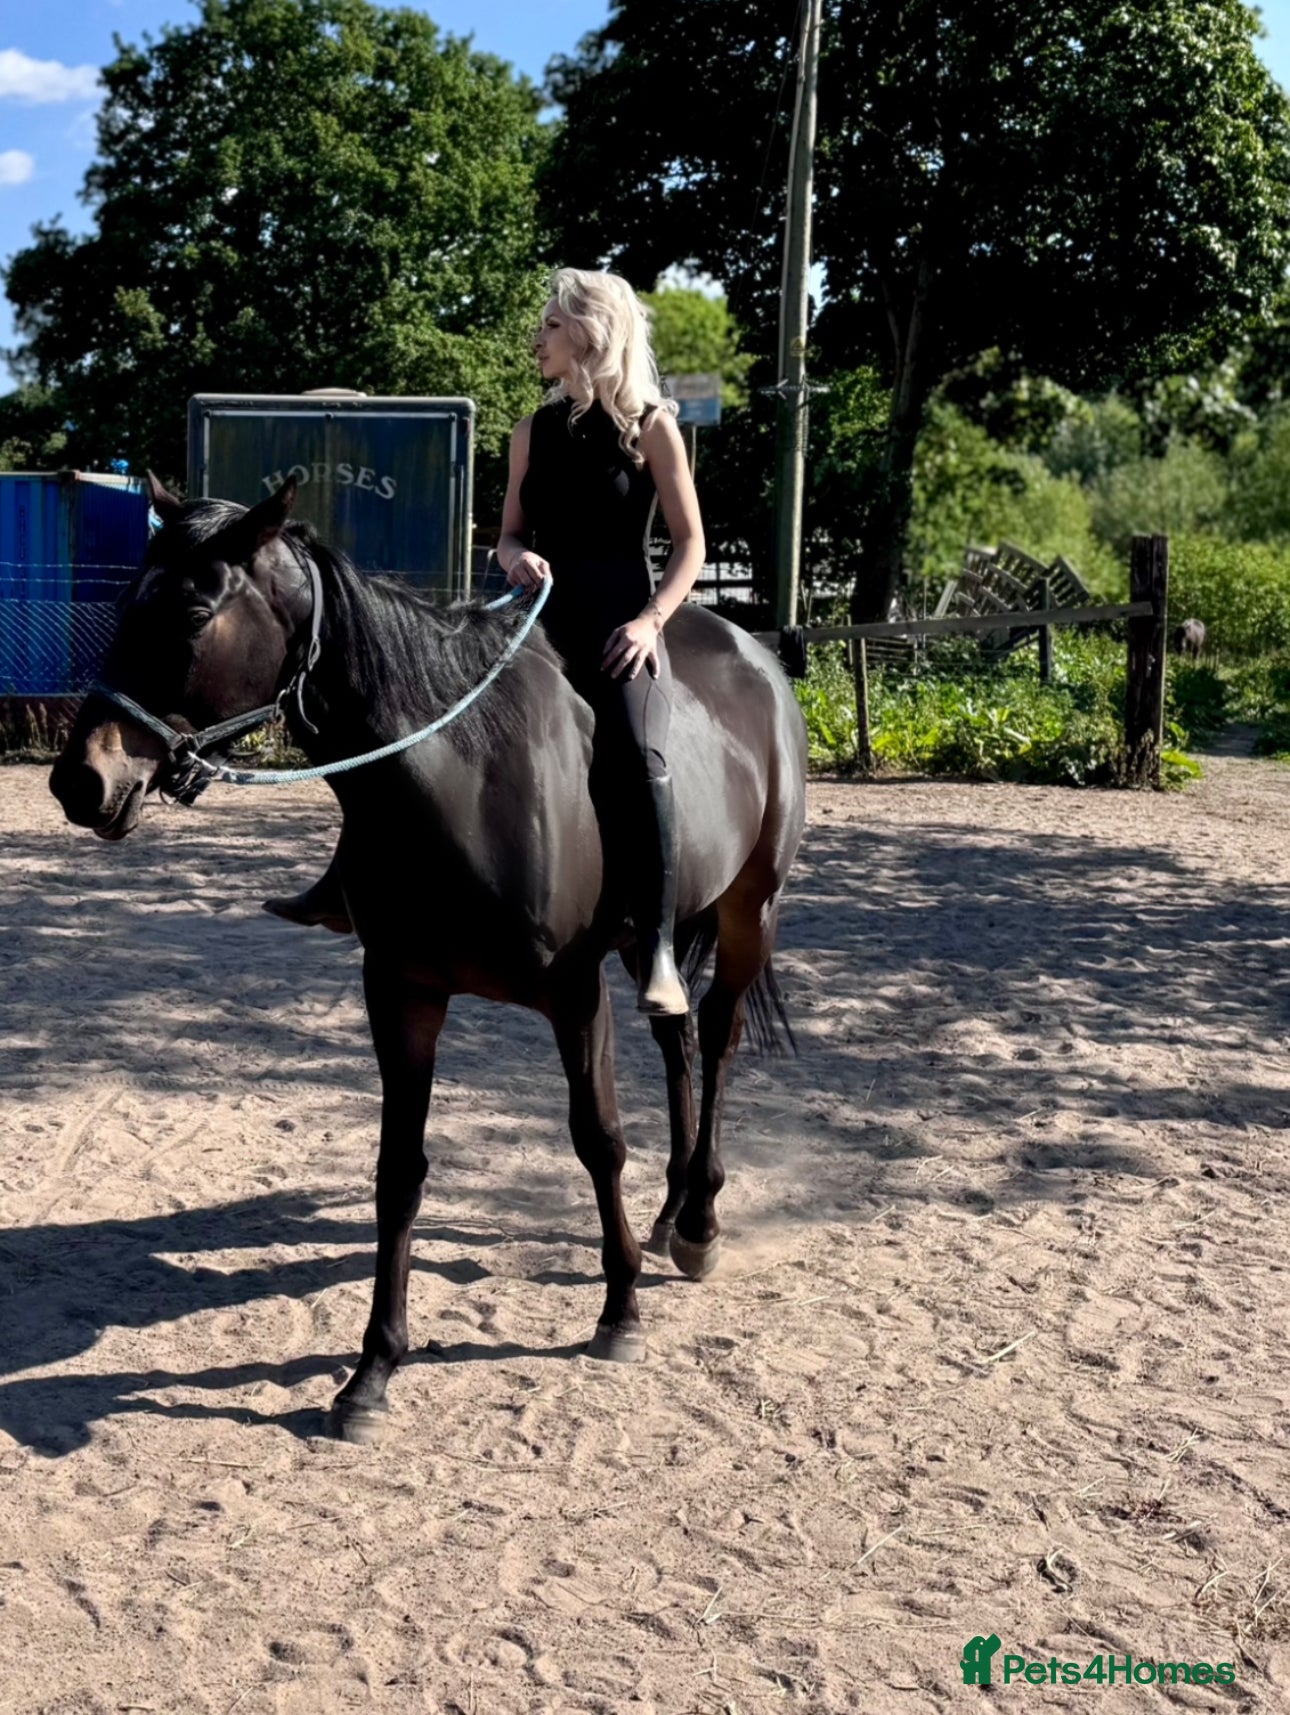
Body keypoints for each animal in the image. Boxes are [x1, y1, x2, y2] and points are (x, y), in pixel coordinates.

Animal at [50, 475, 808, 1441]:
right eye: (125, 603)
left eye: (191, 610)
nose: (81, 780)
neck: (463, 781)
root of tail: (754, 651)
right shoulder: (402, 990)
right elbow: (398, 1171)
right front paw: (372, 1370)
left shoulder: (575, 993)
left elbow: (597, 1139)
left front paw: (621, 1310)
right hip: (655, 938)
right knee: (676, 1041)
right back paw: (671, 1209)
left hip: (751, 911)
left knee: (713, 1039)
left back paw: (700, 1221)